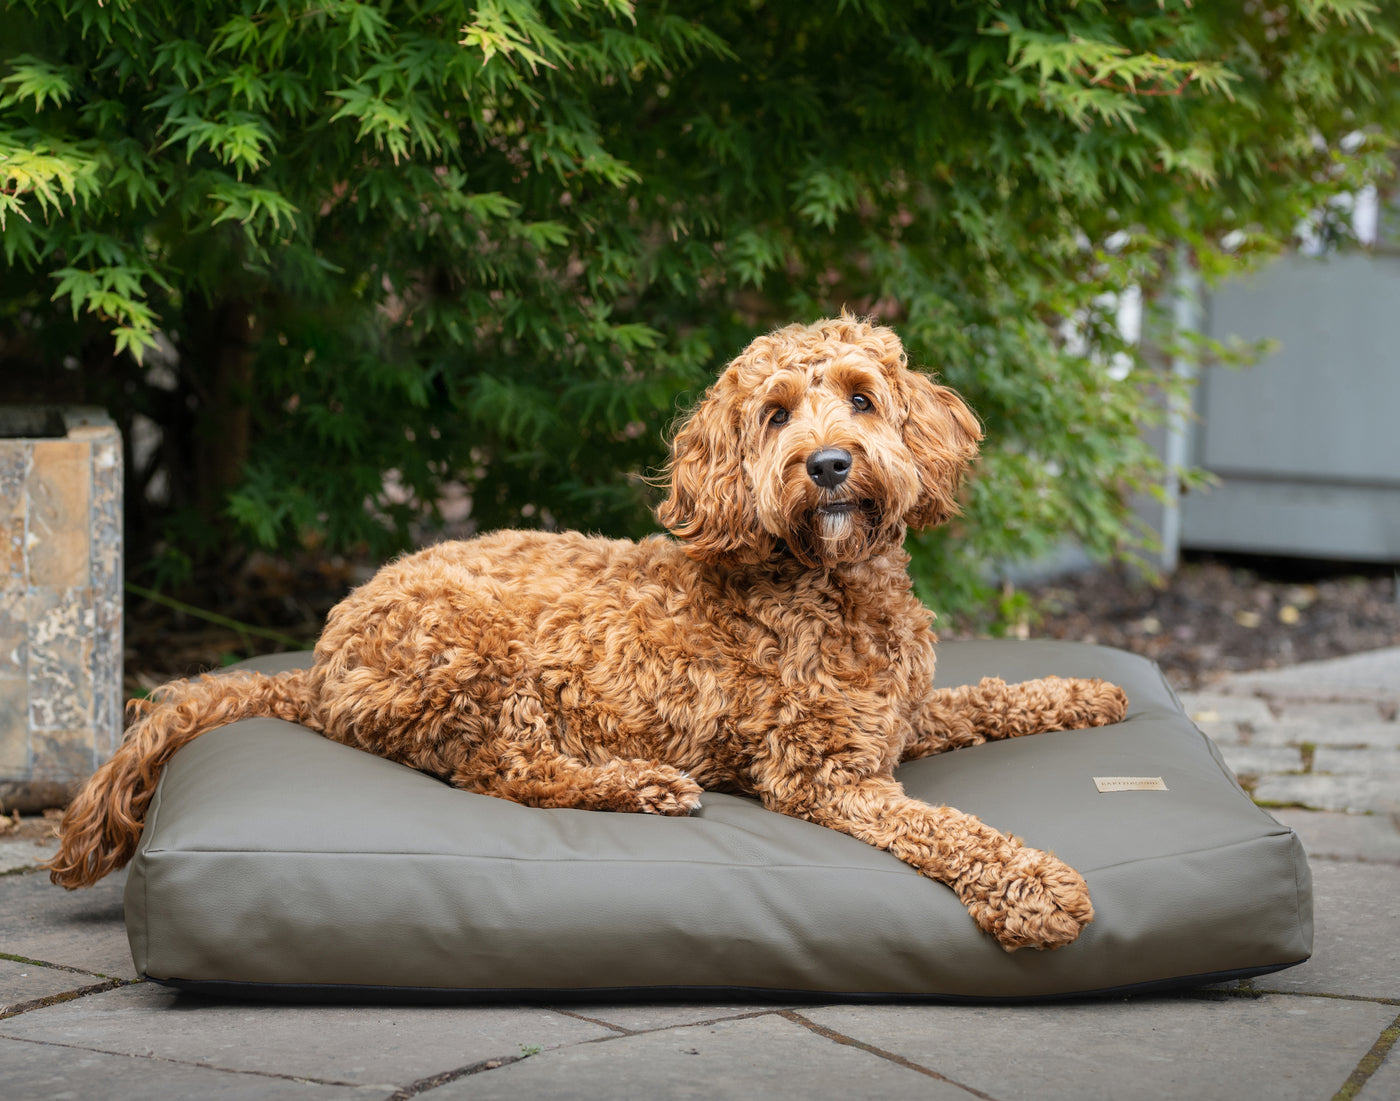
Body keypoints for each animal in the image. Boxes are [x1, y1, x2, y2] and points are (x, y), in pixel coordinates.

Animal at [49, 313, 1125, 946]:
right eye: (776, 415)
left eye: (862, 397)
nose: (827, 463)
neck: (827, 582)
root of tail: (317, 660)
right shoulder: (821, 774)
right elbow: (944, 827)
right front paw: (1036, 885)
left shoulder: (897, 720)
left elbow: (987, 697)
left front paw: (1085, 693)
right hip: (480, 663)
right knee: (506, 774)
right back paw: (641, 784)